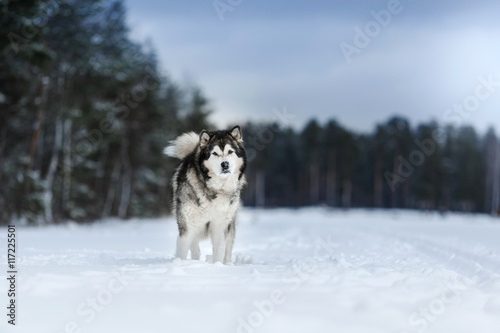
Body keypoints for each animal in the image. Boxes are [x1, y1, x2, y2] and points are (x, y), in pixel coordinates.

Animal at [165, 124, 247, 262]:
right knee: (195, 249)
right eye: (214, 153)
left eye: (230, 152)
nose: (225, 164)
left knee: (227, 250)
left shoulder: (221, 227)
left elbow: (219, 252)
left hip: (230, 225)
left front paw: (217, 265)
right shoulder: (188, 227)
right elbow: (183, 252)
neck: (215, 189)